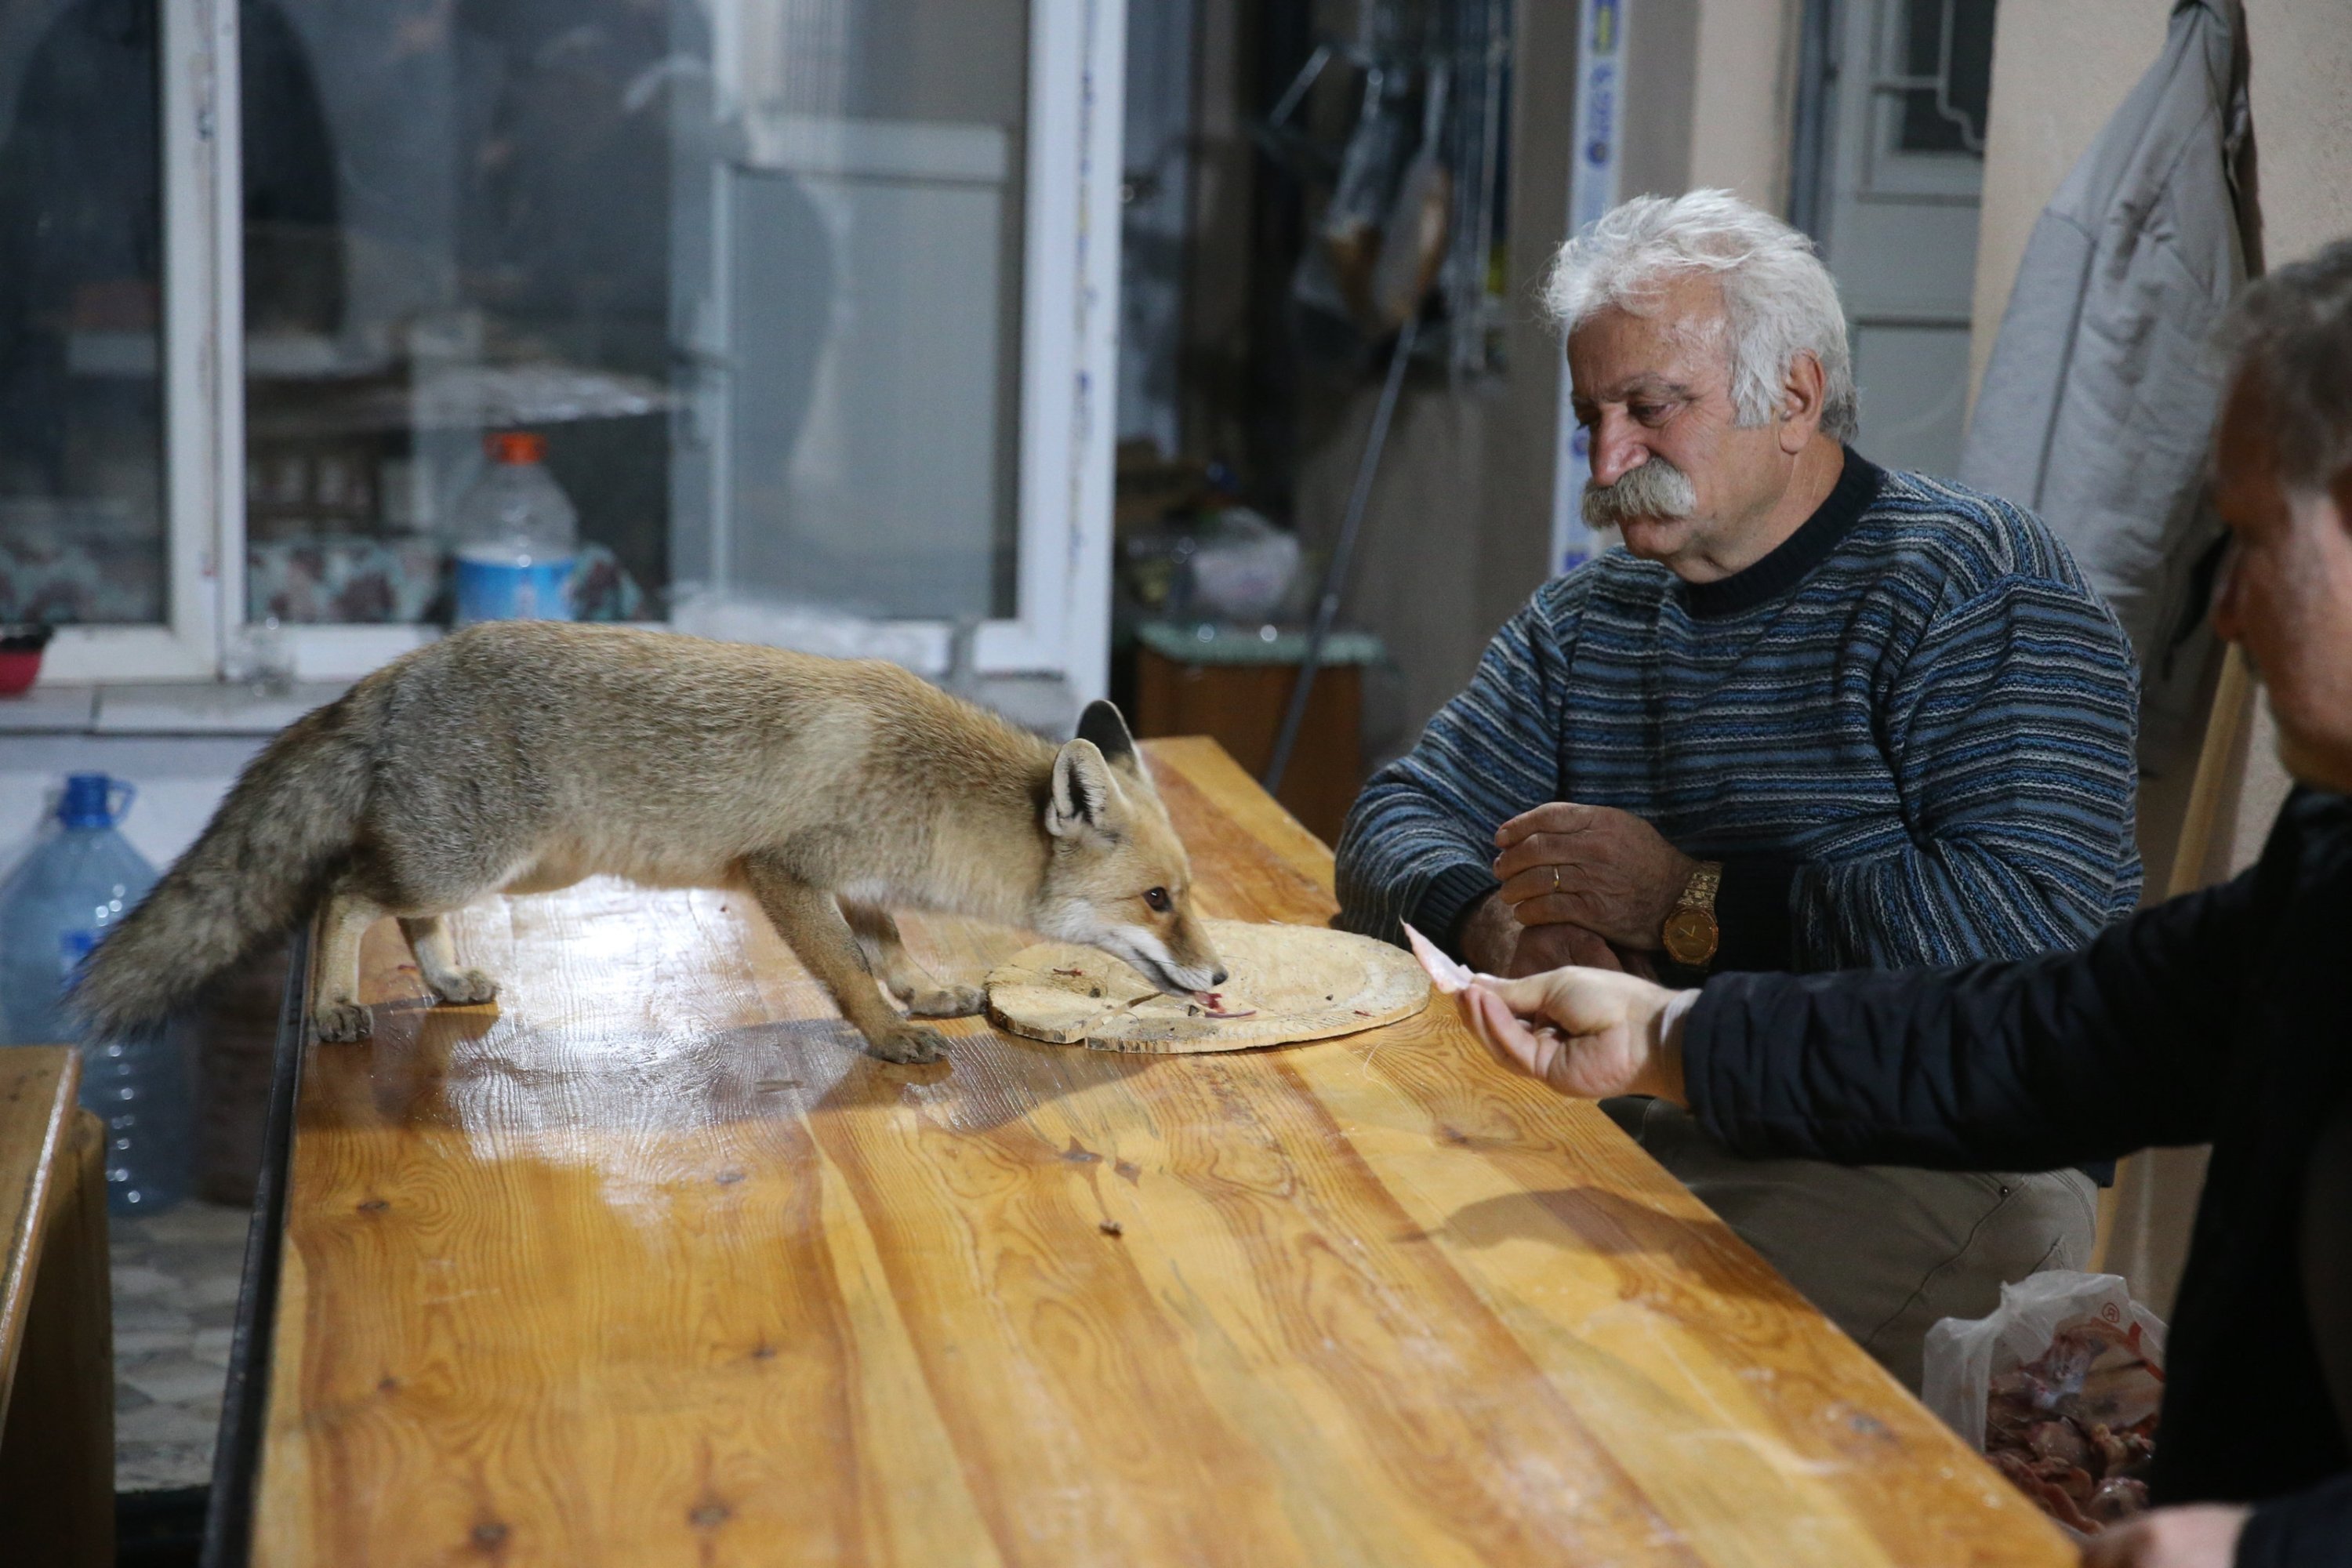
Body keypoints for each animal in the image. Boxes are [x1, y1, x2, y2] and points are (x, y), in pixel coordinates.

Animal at [73, 621, 1226, 1064]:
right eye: (1158, 901)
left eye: (1189, 890)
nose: (1219, 974)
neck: (926, 787)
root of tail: (396, 669)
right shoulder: (782, 872)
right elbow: (848, 973)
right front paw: (887, 1036)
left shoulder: (851, 875)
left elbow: (889, 946)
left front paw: (924, 993)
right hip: (480, 858)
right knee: (341, 895)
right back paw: (335, 1006)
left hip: (513, 866)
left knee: (405, 911)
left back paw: (444, 982)